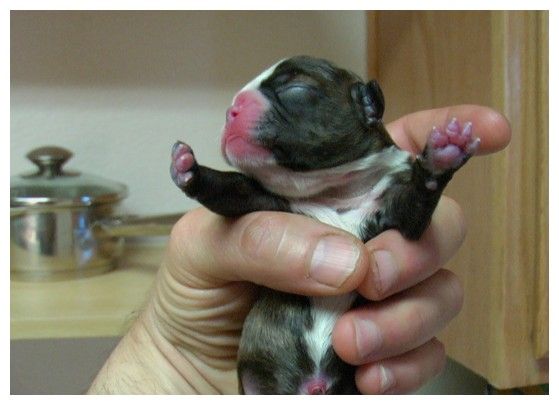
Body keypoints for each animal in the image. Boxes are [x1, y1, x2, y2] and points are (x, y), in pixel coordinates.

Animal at [170, 55, 482, 392]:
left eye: (296, 89)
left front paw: (442, 157)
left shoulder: (396, 212)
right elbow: (229, 190)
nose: (232, 110)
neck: (335, 192)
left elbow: (413, 212)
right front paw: (187, 167)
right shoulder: (266, 201)